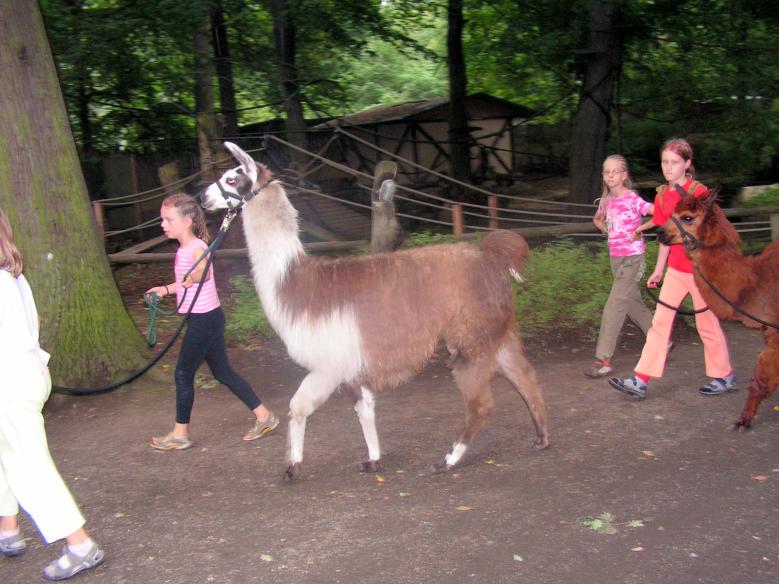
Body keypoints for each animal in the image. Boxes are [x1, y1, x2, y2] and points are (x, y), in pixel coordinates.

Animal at [200, 142, 549, 480]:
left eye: (231, 178)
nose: (203, 198)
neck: (295, 283)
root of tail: (489, 255)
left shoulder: (329, 364)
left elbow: (298, 407)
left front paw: (293, 467)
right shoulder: (351, 365)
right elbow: (364, 408)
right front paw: (373, 459)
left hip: (470, 335)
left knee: (481, 403)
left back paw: (448, 460)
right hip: (496, 329)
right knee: (524, 376)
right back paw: (541, 438)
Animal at [657, 188, 779, 429]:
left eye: (687, 217)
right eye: (672, 212)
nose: (659, 233)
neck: (759, 282)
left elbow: (760, 378)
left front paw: (743, 421)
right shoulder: (771, 331)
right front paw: (744, 419)